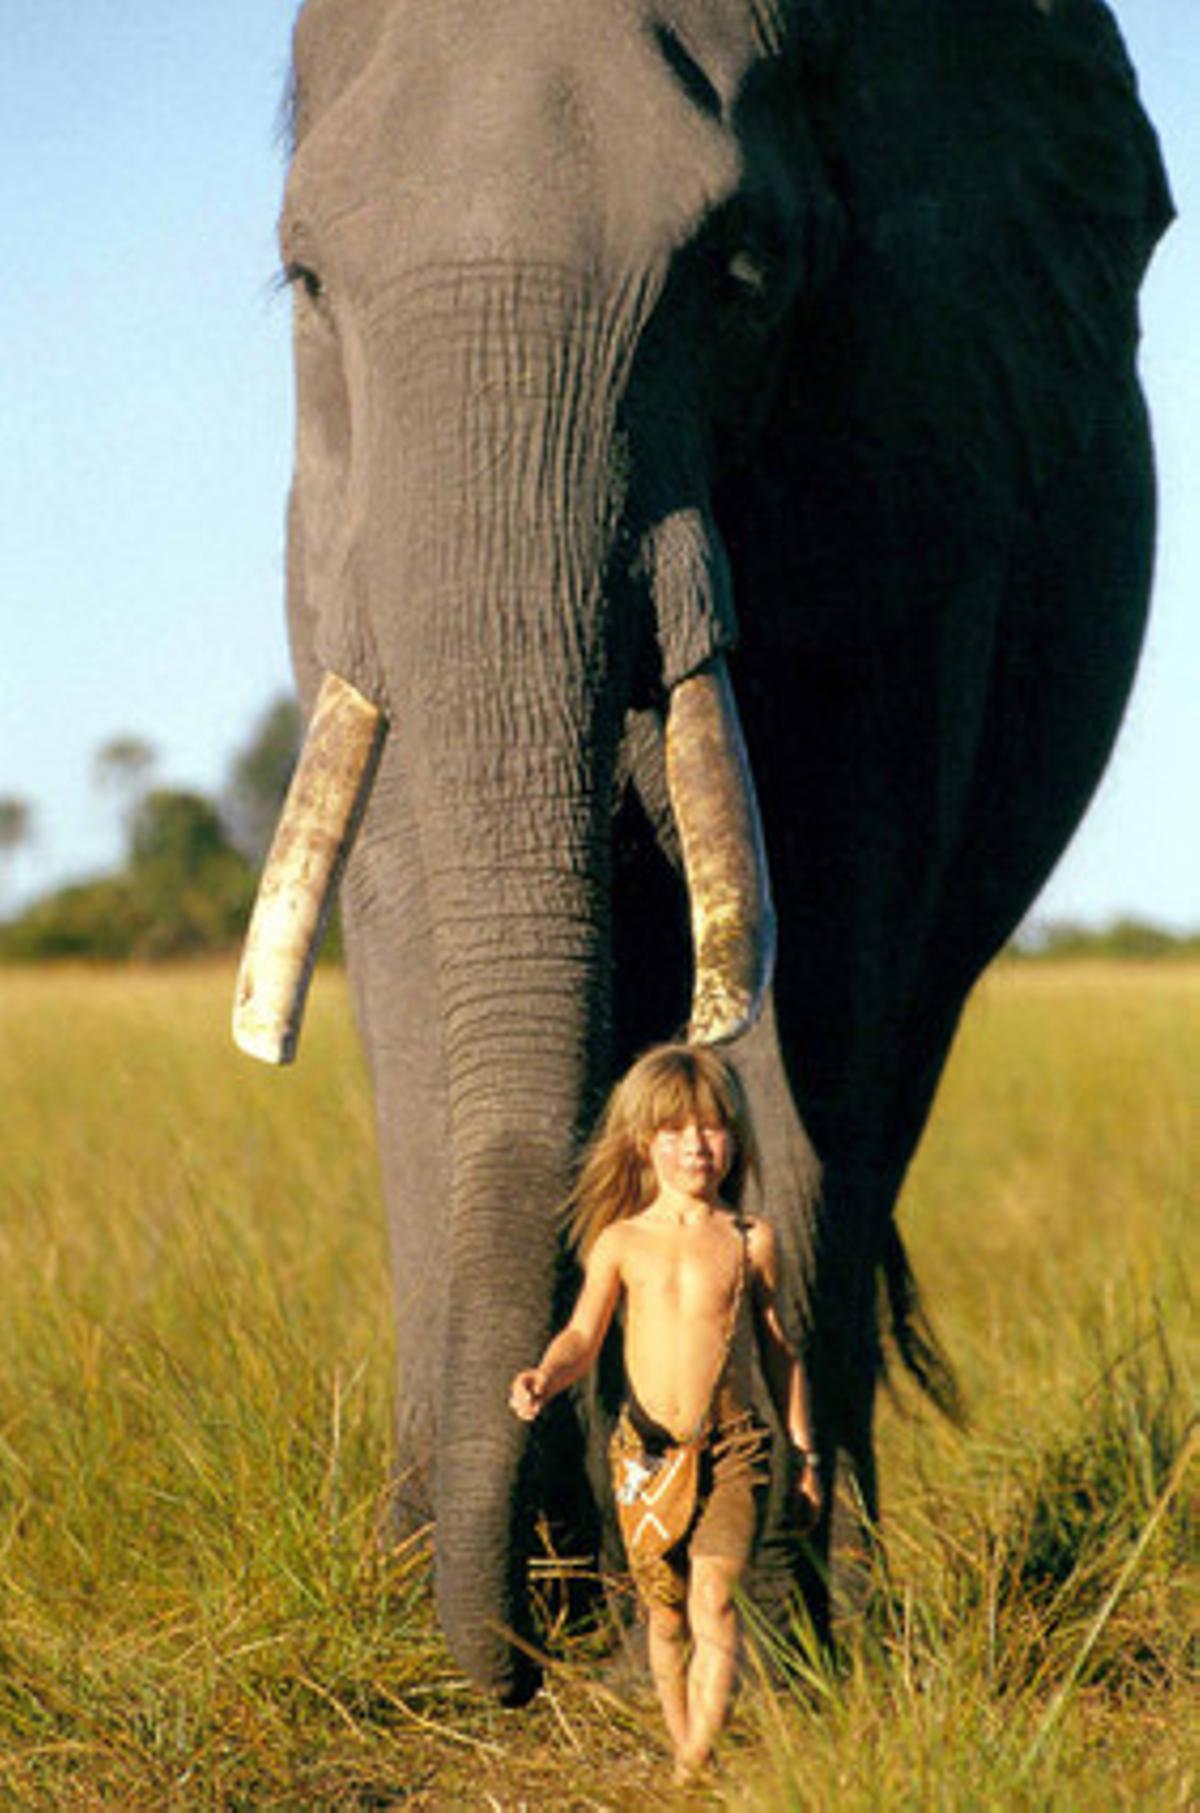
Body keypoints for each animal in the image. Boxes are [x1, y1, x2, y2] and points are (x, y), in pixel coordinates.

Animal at [233, 0, 1170, 1701]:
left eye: (740, 273)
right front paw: (455, 1595)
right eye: (310, 284)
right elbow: (409, 938)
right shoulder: (339, 536)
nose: (511, 1661)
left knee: (892, 1061)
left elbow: (832, 931)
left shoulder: (915, 473)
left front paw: (772, 1633)